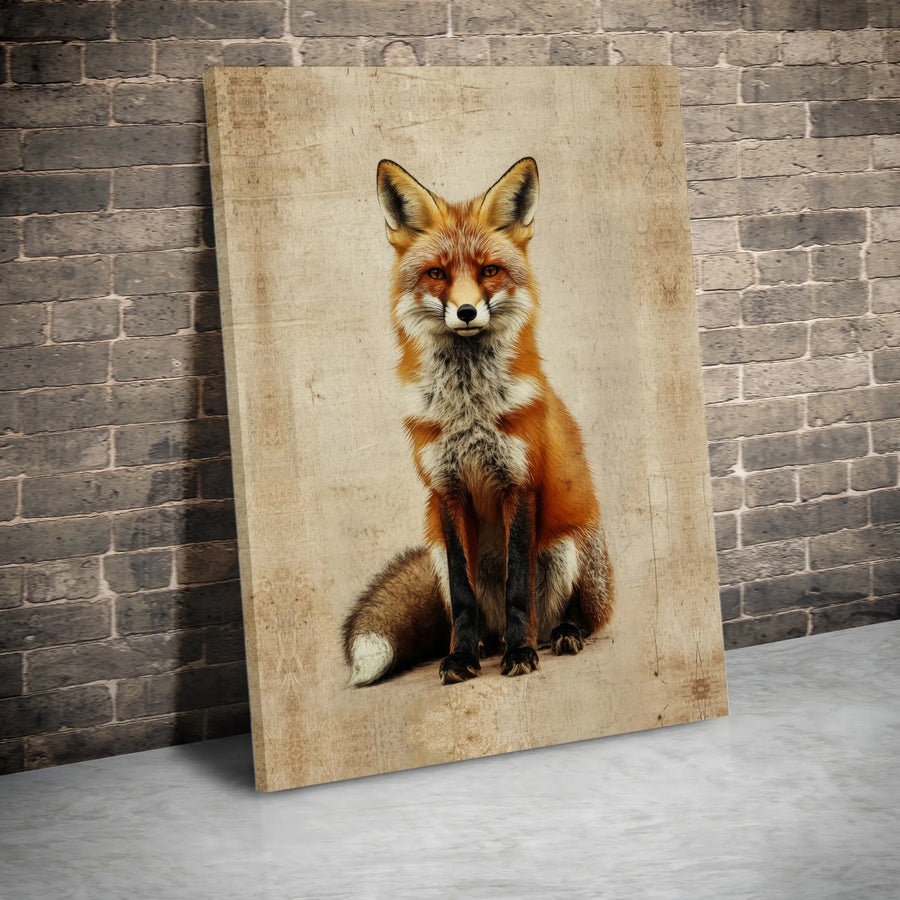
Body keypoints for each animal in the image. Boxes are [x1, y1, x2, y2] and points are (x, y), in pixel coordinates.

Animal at [343, 157, 614, 687]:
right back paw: (487, 646)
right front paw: (461, 658)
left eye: (489, 271)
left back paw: (558, 635)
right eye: (437, 274)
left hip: (567, 548)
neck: (468, 411)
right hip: (433, 549)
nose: (466, 311)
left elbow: (518, 588)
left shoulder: (520, 484)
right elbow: (463, 593)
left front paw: (520, 653)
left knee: (578, 617)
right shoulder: (446, 492)